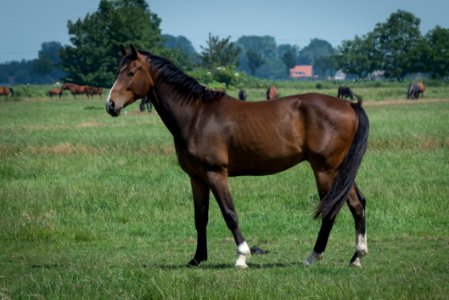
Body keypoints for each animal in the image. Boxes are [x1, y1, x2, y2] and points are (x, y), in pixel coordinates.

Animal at [107, 45, 370, 270]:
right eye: (118, 71)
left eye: (130, 72)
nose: (110, 104)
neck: (197, 116)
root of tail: (350, 106)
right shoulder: (197, 178)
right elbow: (200, 217)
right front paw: (197, 258)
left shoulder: (216, 174)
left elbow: (229, 213)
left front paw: (242, 256)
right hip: (340, 170)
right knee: (357, 204)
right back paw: (357, 256)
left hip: (325, 170)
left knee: (331, 210)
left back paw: (313, 256)